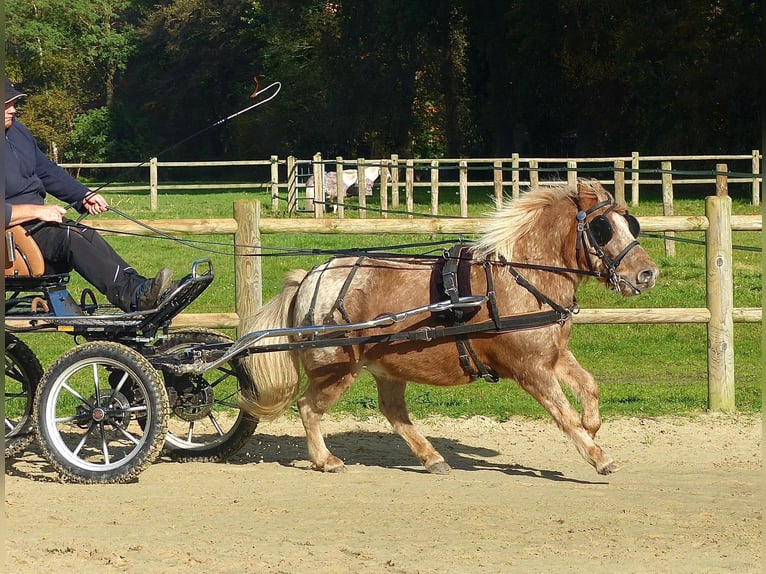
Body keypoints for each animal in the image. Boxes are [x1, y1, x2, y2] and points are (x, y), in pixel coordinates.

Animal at [238, 180, 660, 476]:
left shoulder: (553, 355)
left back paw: (432, 457)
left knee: (393, 411)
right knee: (309, 407)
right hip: (337, 368)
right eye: (603, 228)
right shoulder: (531, 369)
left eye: (630, 223)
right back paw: (326, 460)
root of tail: (309, 279)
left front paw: (593, 427)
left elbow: (589, 387)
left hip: (387, 367)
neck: (521, 279)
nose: (647, 273)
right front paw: (598, 457)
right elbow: (564, 414)